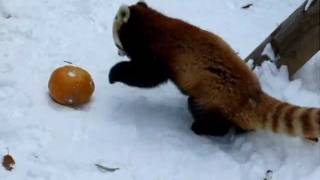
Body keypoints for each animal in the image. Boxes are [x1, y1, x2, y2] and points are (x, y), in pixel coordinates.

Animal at [109, 1, 318, 139]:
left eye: (116, 42)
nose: (118, 52)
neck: (153, 24)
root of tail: (252, 94)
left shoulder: (158, 53)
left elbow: (147, 76)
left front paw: (114, 73)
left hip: (212, 99)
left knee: (203, 112)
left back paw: (201, 128)